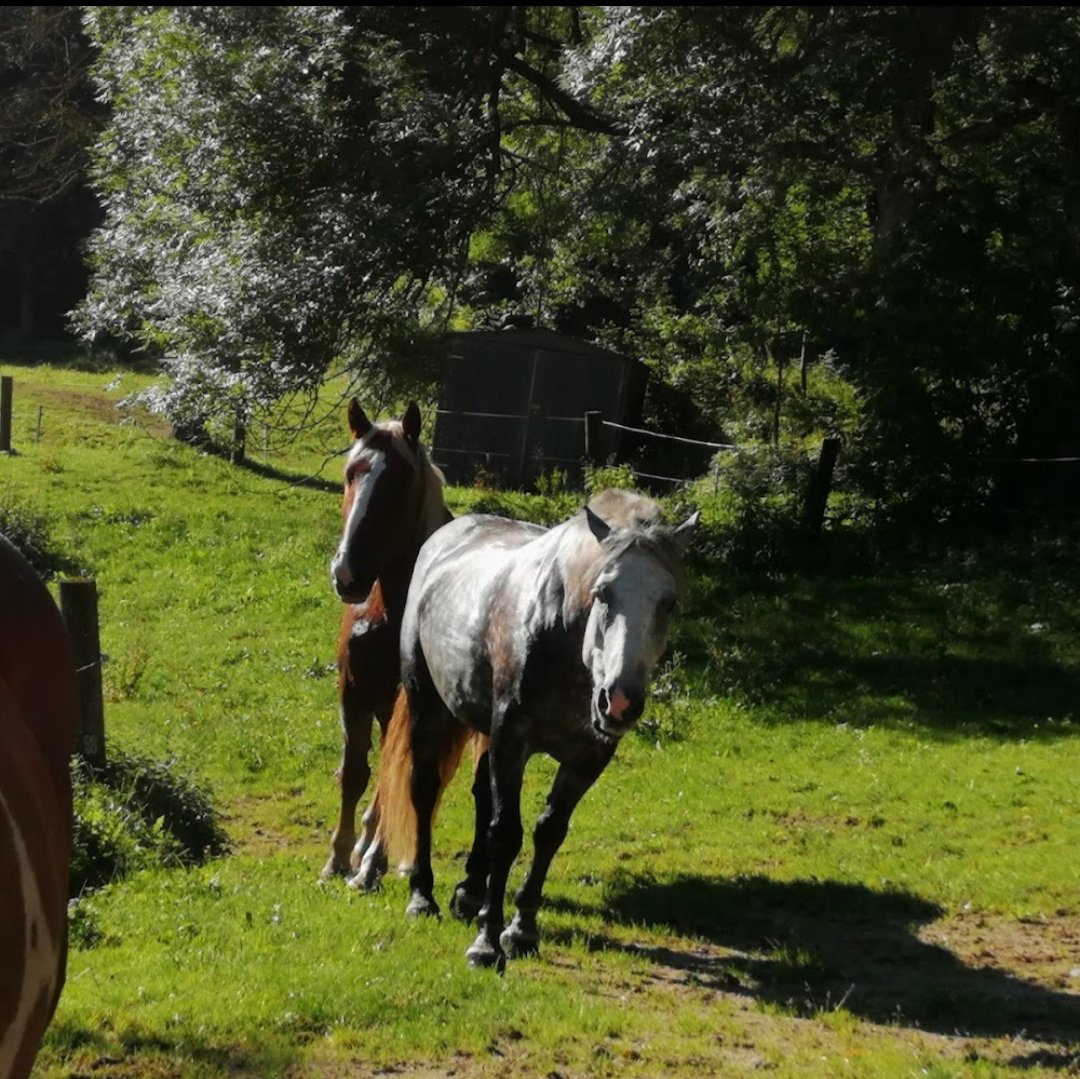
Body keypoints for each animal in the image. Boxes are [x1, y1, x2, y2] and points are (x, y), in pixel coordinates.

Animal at [322, 398, 480, 889]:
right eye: (351, 472)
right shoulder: (352, 692)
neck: (390, 612)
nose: (348, 574)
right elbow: (355, 774)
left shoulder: (405, 707)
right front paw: (338, 857)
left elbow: (392, 782)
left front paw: (370, 863)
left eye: (399, 481)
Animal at [387, 488, 697, 969]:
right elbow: (506, 834)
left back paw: (469, 893)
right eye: (603, 592)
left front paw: (522, 930)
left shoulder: (588, 757)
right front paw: (486, 943)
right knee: (424, 788)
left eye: (669, 603)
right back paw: (423, 896)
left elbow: (548, 831)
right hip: (429, 705)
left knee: (481, 796)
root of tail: (450, 533)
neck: (563, 639)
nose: (619, 702)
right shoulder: (512, 742)